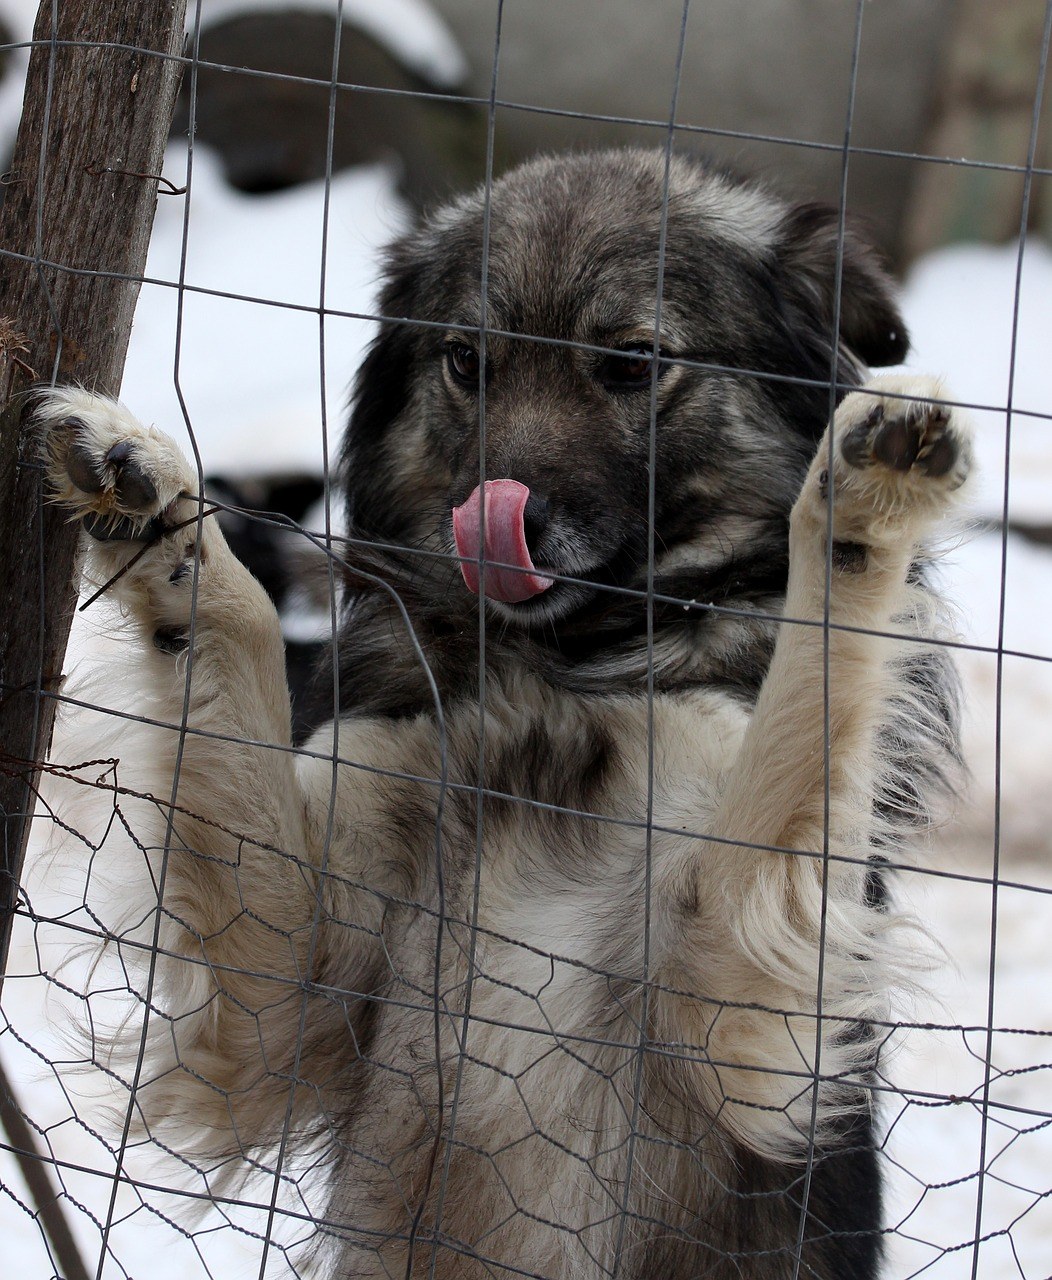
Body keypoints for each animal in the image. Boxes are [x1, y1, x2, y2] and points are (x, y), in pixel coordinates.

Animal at [2, 2, 1052, 1280]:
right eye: (467, 361)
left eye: (634, 362)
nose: (497, 518)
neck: (556, 672)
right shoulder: (291, 972)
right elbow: (235, 631)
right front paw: (153, 506)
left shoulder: (737, 983)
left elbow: (812, 671)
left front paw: (855, 507)